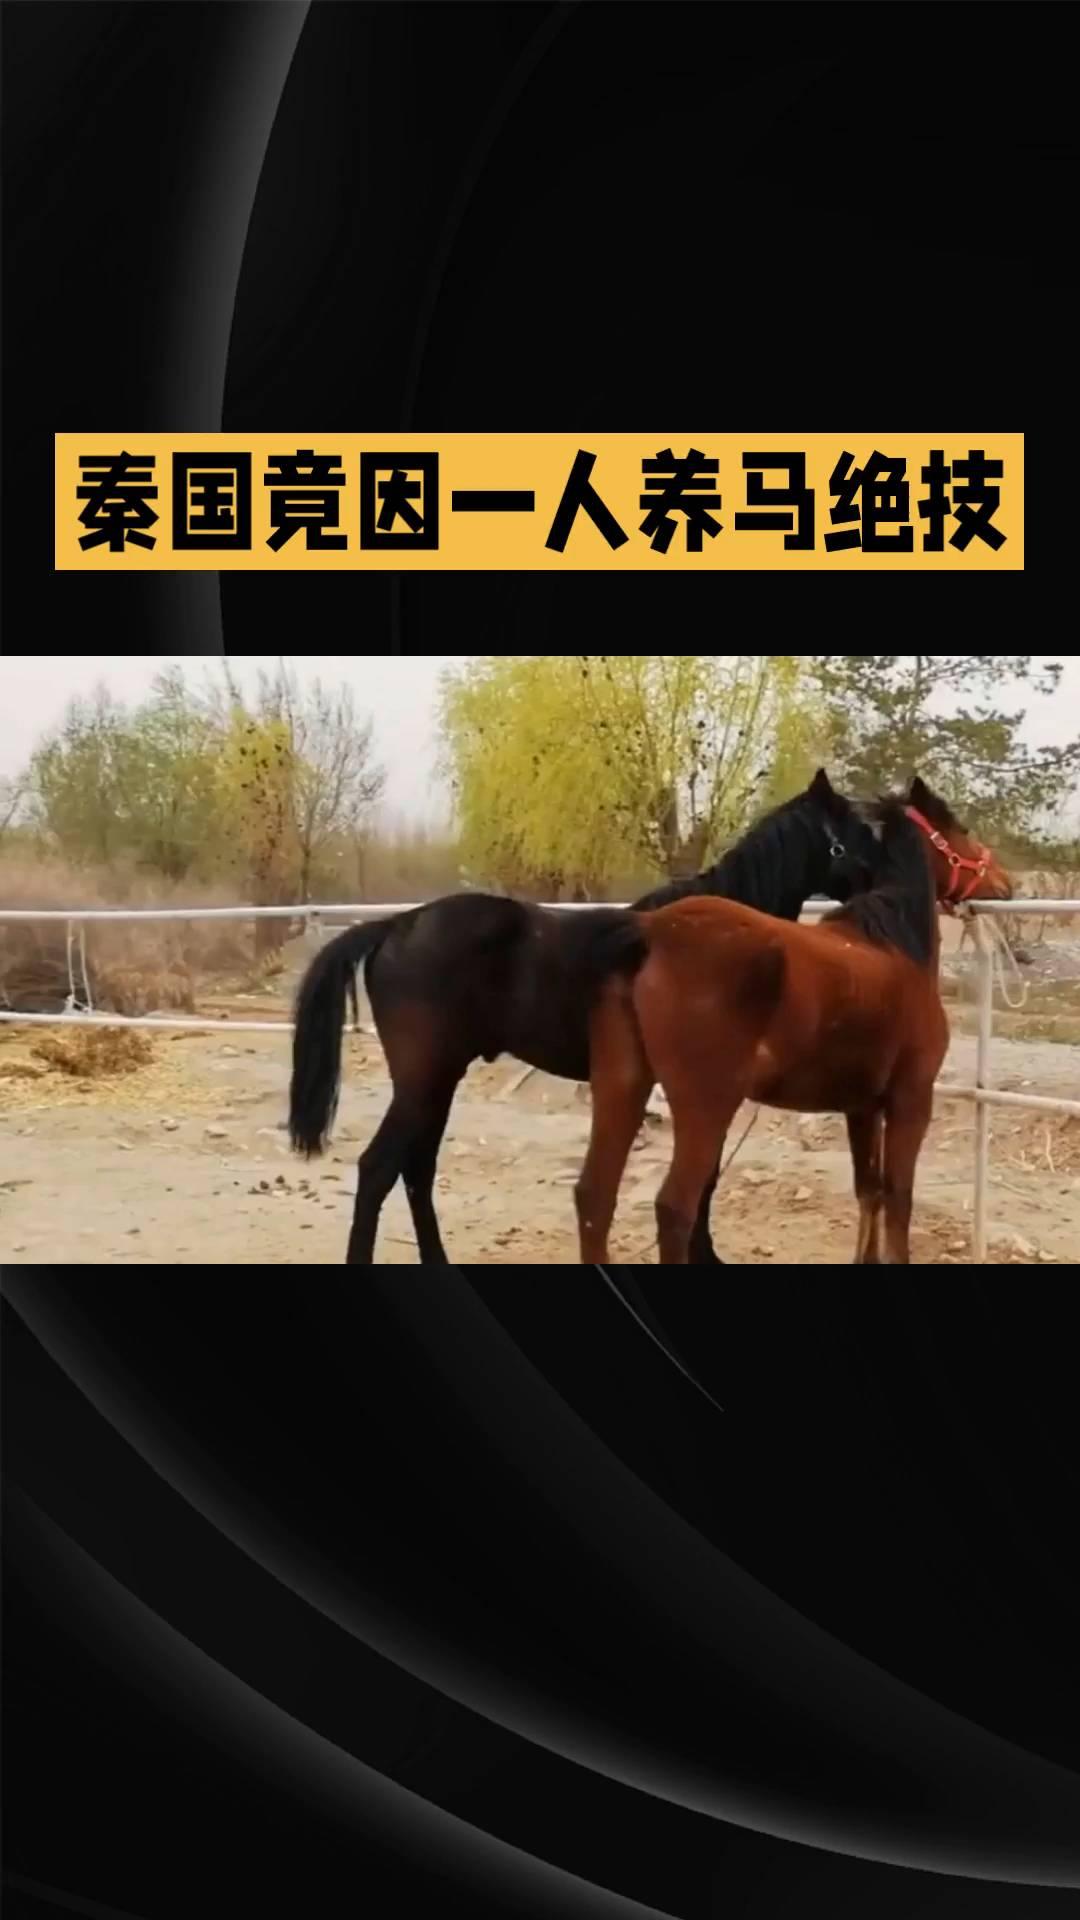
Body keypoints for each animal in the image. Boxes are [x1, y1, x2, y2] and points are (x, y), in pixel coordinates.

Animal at [288, 769, 880, 1265]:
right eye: (858, 831)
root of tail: (396, 925)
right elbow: (705, 1179)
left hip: (437, 1081)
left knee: (417, 1170)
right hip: (423, 1080)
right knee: (378, 1170)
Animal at [573, 777, 1013, 1266]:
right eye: (961, 829)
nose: (1005, 883)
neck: (895, 942)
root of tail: (651, 934)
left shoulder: (862, 1106)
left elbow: (869, 1191)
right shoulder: (911, 1099)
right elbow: (899, 1198)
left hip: (622, 1087)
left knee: (594, 1197)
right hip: (705, 1106)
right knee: (674, 1208)